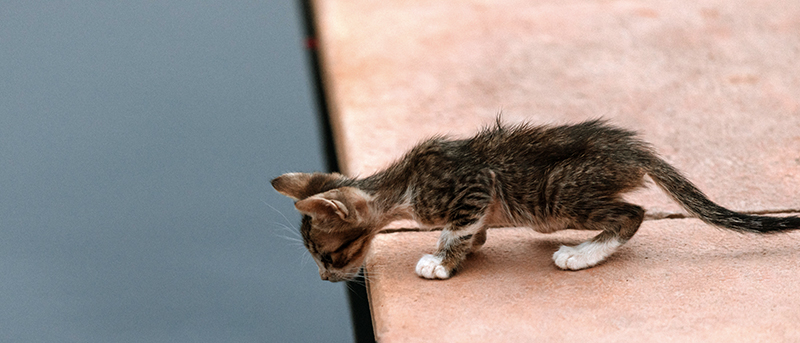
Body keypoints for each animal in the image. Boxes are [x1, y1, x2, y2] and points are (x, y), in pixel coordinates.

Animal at [270, 121, 800, 282]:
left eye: (329, 255)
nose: (325, 279)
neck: (403, 185)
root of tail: (632, 149)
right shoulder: (476, 199)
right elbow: (472, 230)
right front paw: (470, 248)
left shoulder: (473, 185)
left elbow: (456, 227)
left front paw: (442, 261)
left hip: (560, 199)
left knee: (633, 213)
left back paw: (581, 254)